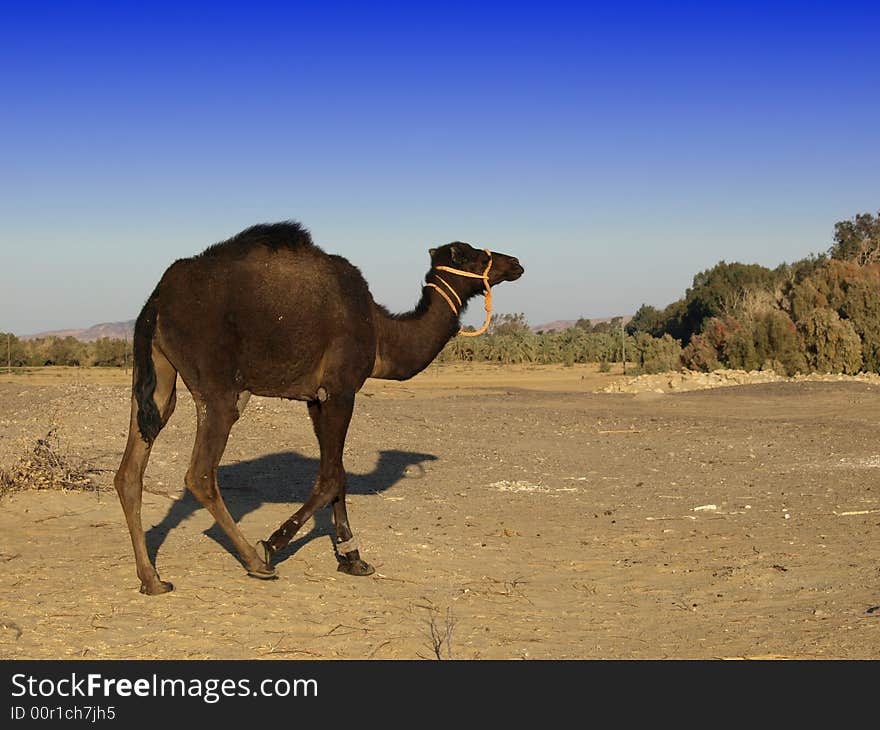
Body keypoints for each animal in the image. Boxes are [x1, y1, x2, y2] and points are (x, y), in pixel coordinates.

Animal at [110, 220, 524, 592]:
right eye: (473, 255)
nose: (516, 262)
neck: (381, 332)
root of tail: (157, 298)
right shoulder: (341, 389)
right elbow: (330, 478)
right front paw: (274, 543)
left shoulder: (315, 398)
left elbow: (337, 474)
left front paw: (353, 558)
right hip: (219, 387)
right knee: (200, 473)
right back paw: (256, 561)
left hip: (157, 376)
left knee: (132, 465)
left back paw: (152, 579)